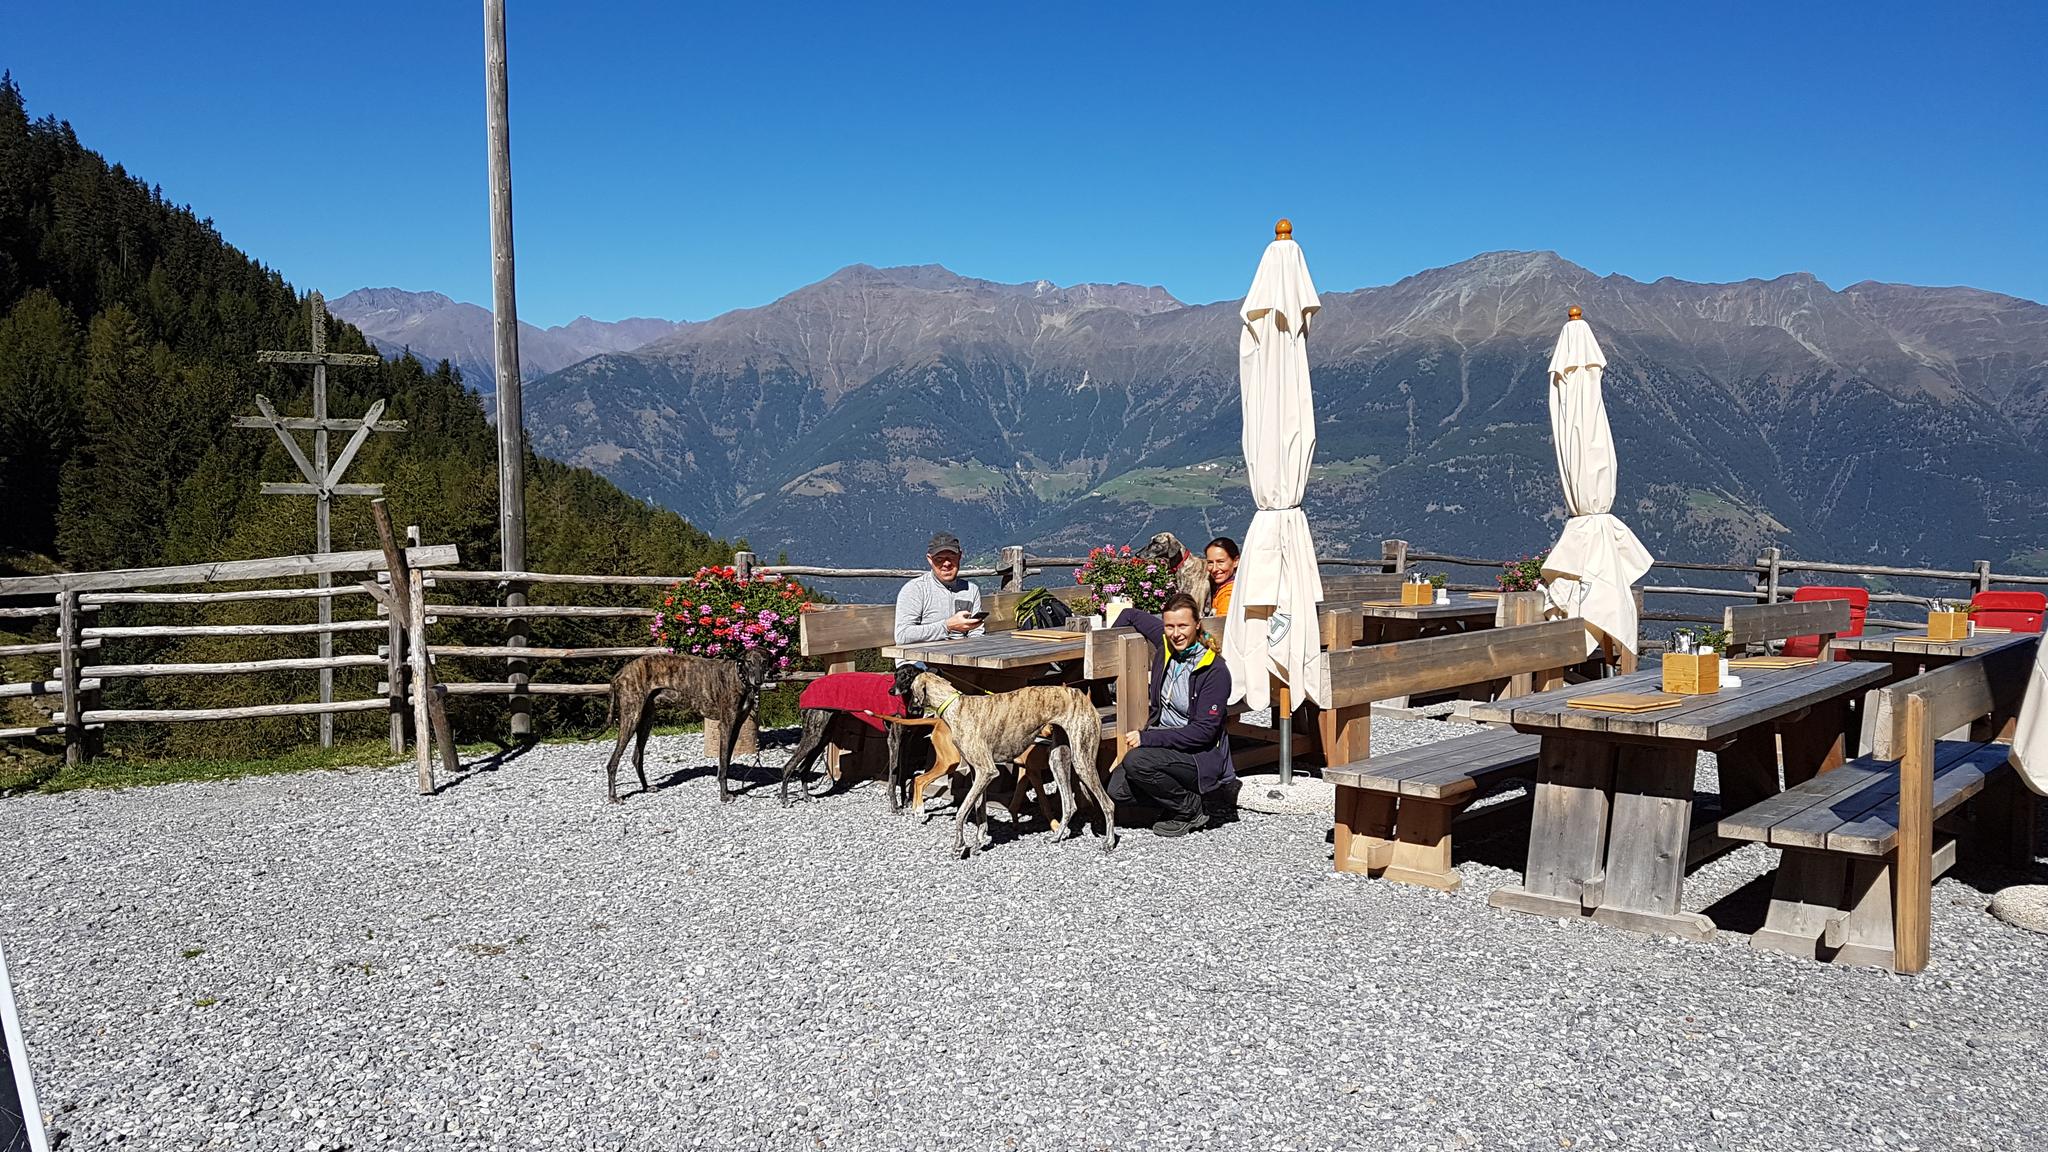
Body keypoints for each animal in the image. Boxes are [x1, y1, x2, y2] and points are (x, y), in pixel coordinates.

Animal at [606, 647, 774, 799]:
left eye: (764, 661)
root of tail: (619, 674)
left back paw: (646, 787)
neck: (739, 678)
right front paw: (724, 795)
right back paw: (613, 797)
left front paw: (726, 790)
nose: (758, 681)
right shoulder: (726, 725)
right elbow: (723, 763)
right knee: (613, 762)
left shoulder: (737, 726)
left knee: (637, 758)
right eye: (749, 662)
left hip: (646, 720)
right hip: (631, 717)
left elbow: (725, 761)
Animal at [892, 664, 1122, 852]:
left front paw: (959, 845)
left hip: (1082, 760)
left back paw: (1109, 842)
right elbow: (980, 811)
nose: (908, 708)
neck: (955, 706)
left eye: (909, 685)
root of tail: (1081, 694)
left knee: (1108, 803)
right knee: (1069, 804)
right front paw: (979, 841)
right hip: (1058, 760)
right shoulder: (979, 773)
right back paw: (1057, 836)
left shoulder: (986, 771)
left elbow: (962, 811)